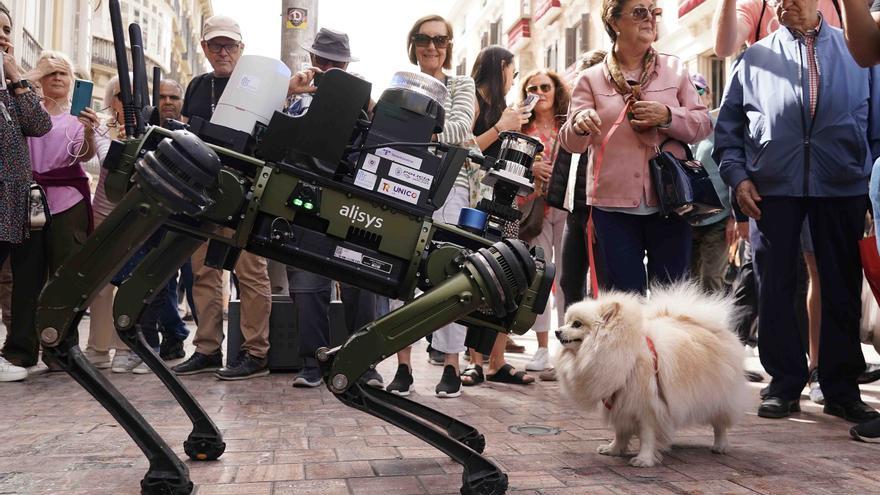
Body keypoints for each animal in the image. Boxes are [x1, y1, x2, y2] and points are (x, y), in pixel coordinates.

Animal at [552, 284, 744, 466]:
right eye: (566, 322)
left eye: (577, 324)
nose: (557, 331)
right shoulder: (621, 401)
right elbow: (620, 431)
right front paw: (614, 449)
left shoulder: (647, 406)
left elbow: (647, 435)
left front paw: (643, 460)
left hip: (718, 397)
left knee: (719, 424)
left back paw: (720, 446)